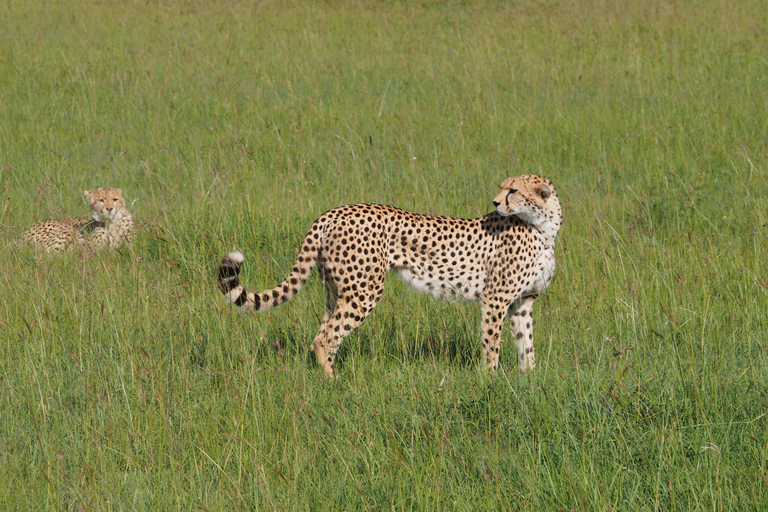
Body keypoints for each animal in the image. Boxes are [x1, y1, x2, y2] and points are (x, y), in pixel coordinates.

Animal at [219, 174, 560, 378]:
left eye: (513, 190)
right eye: (504, 188)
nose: (495, 202)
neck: (544, 229)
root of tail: (332, 212)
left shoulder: (523, 301)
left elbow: (526, 343)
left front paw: (529, 380)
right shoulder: (495, 299)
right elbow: (492, 342)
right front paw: (489, 378)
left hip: (337, 290)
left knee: (324, 333)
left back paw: (328, 375)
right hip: (364, 292)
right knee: (325, 338)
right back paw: (333, 382)